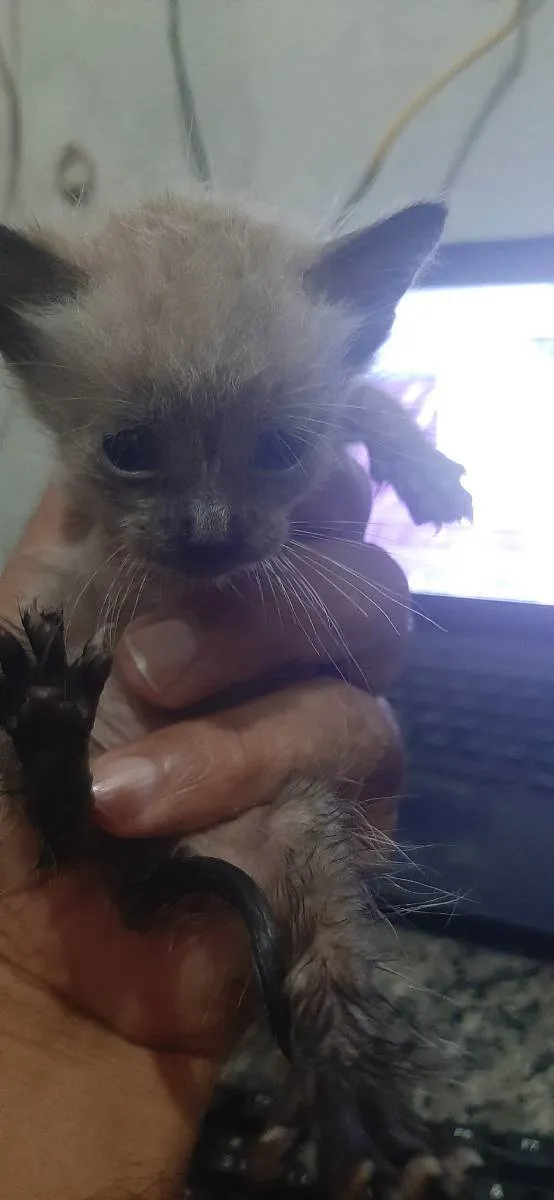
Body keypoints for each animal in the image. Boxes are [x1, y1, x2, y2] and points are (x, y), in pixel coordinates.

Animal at [0, 192, 472, 1195]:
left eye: (280, 450)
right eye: (130, 450)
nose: (212, 534)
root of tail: (178, 854)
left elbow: (362, 390)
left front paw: (419, 467)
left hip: (312, 833)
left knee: (330, 968)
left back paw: (355, 1098)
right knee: (63, 818)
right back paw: (53, 719)